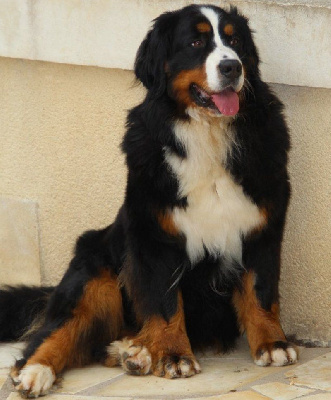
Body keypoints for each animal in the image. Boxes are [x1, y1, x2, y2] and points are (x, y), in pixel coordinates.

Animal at [0, 4, 298, 398]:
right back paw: (38, 372)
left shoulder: (262, 226)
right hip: (95, 272)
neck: (207, 135)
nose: (232, 67)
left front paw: (273, 344)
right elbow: (164, 301)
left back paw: (133, 350)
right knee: (59, 330)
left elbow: (261, 291)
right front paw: (173, 355)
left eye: (235, 42)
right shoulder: (155, 234)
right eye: (196, 42)